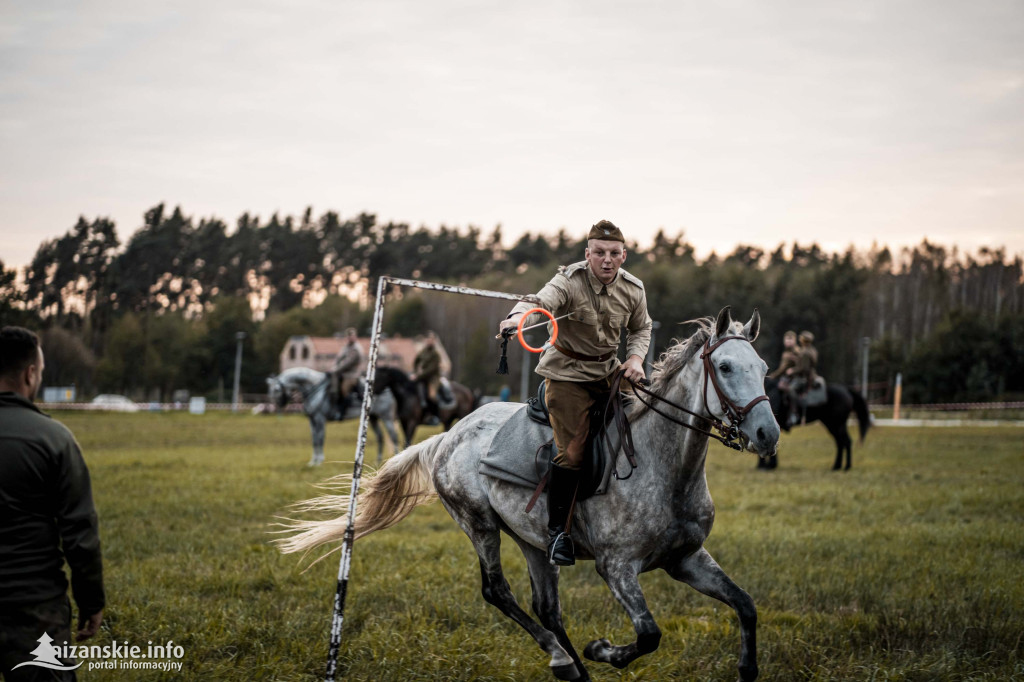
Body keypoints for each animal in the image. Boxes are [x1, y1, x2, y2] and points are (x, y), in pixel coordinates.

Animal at [264, 366, 399, 466]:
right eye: (270, 390)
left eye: (276, 390)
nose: (278, 405)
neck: (314, 388)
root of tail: (389, 389)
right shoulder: (312, 420)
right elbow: (314, 440)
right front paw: (312, 462)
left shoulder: (320, 419)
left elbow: (320, 439)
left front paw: (319, 461)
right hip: (373, 419)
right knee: (380, 437)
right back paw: (378, 461)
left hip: (386, 418)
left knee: (394, 437)